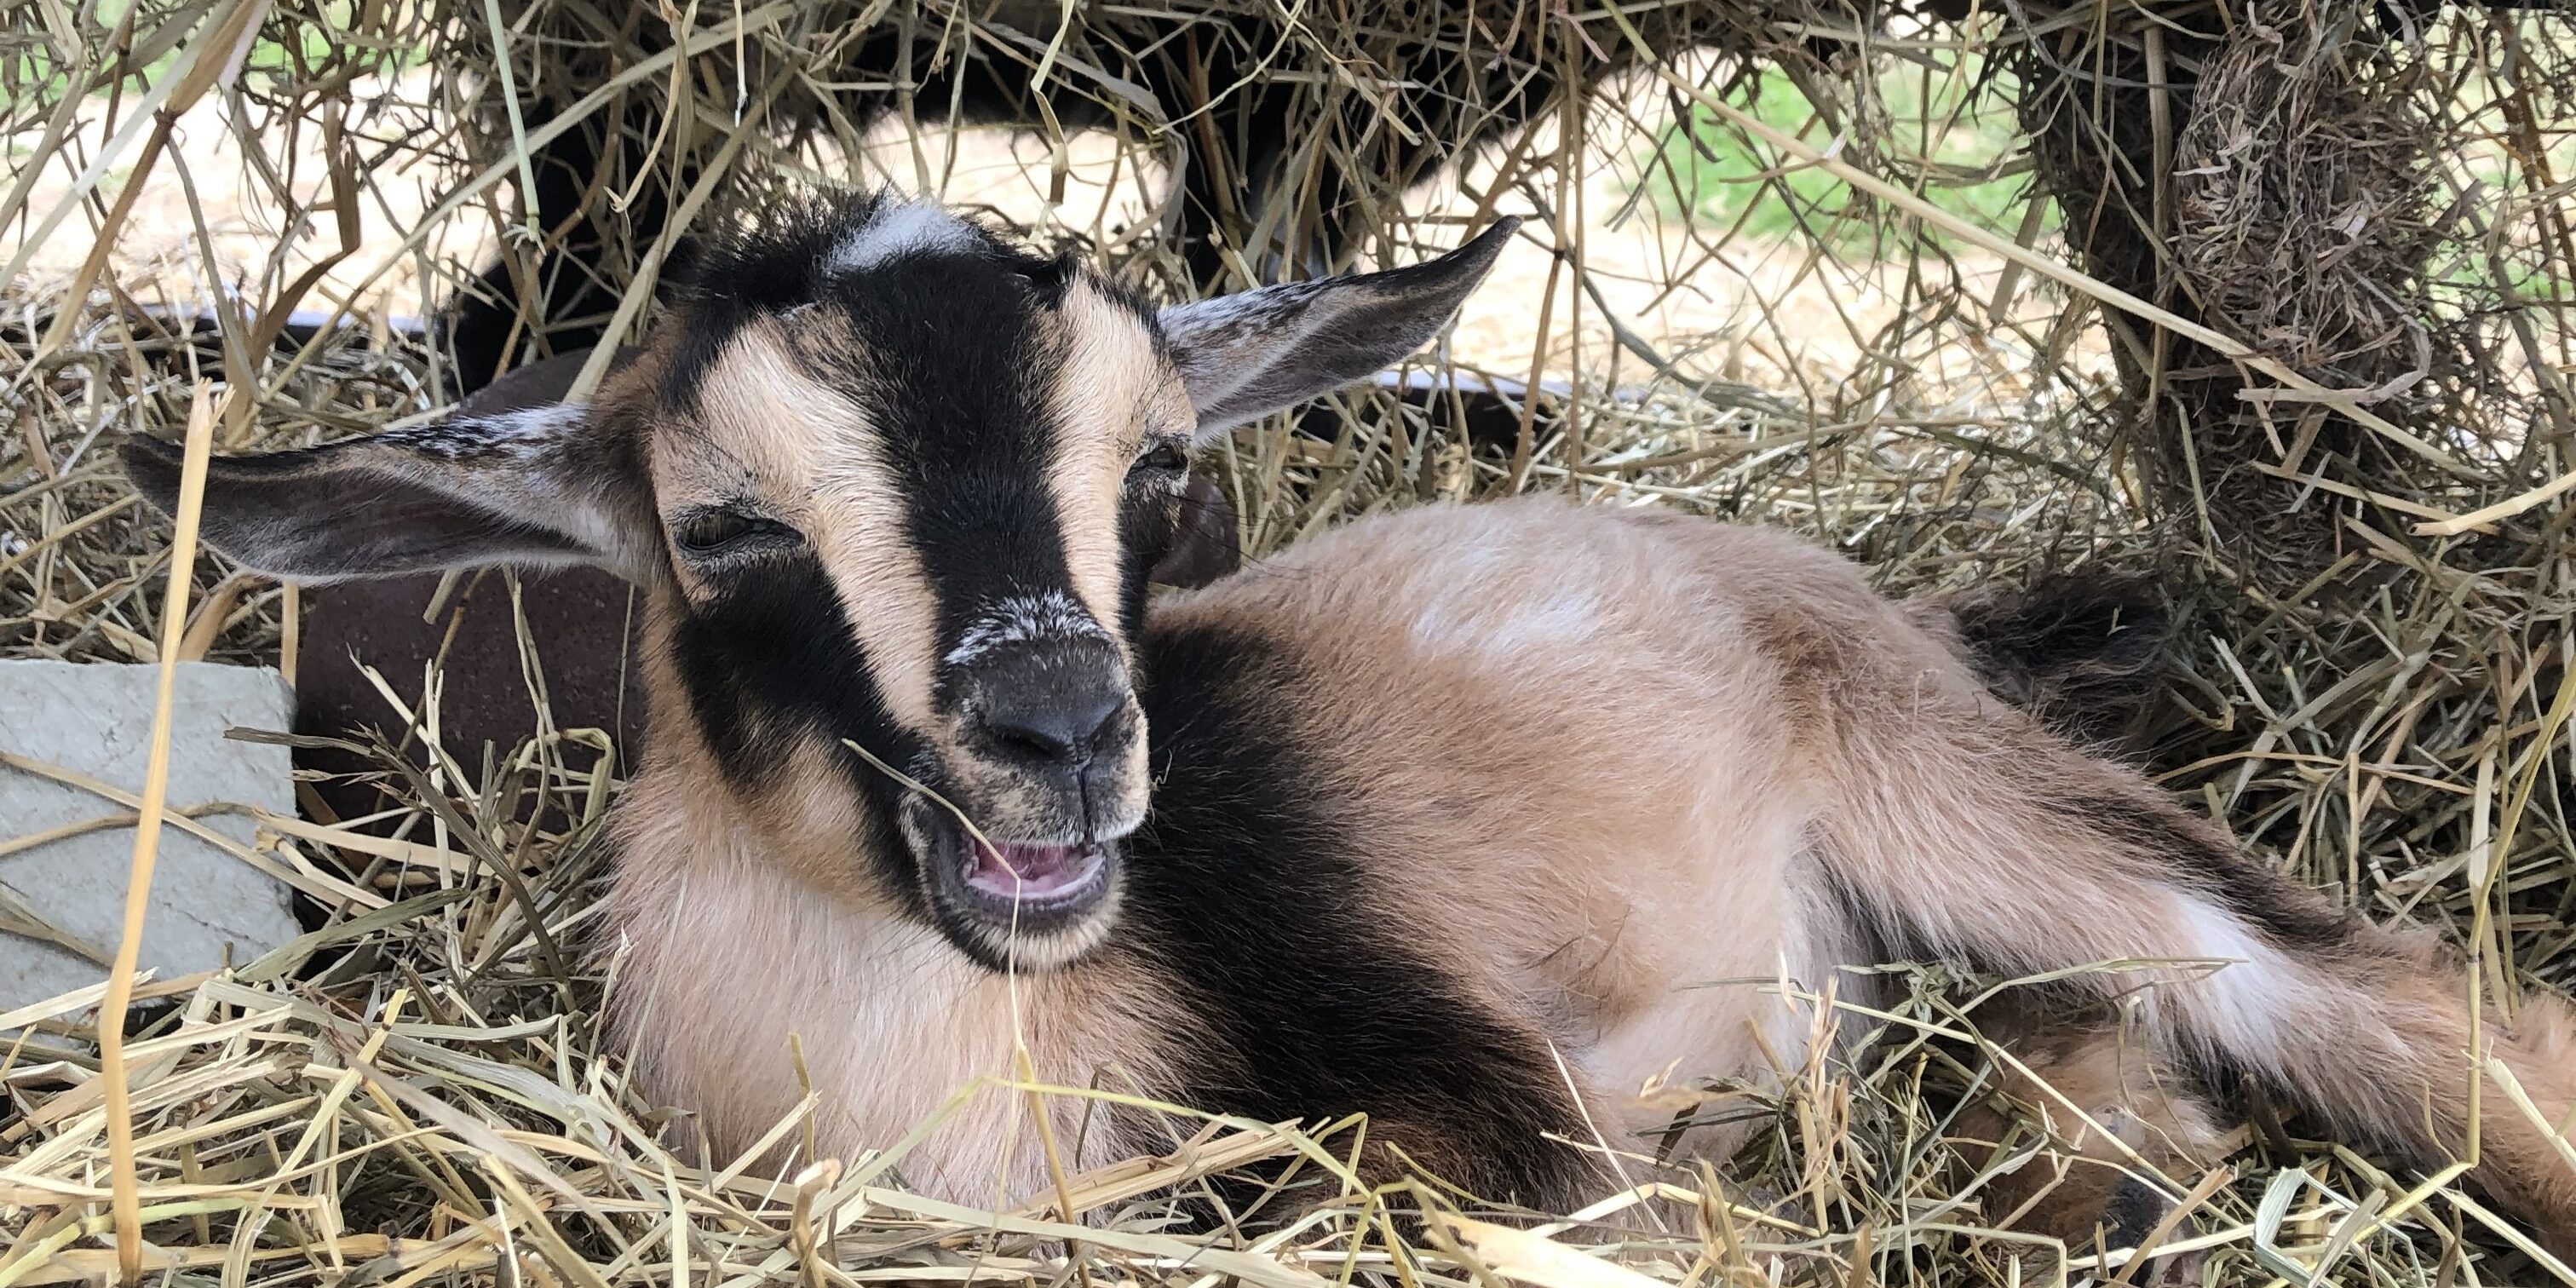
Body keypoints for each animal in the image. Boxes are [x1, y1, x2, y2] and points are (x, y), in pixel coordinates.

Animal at [129, 191, 2576, 1260]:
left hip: (1976, 796)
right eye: (720, 527)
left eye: (1157, 471)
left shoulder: (1474, 1095)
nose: (1059, 726)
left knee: (2377, 996)